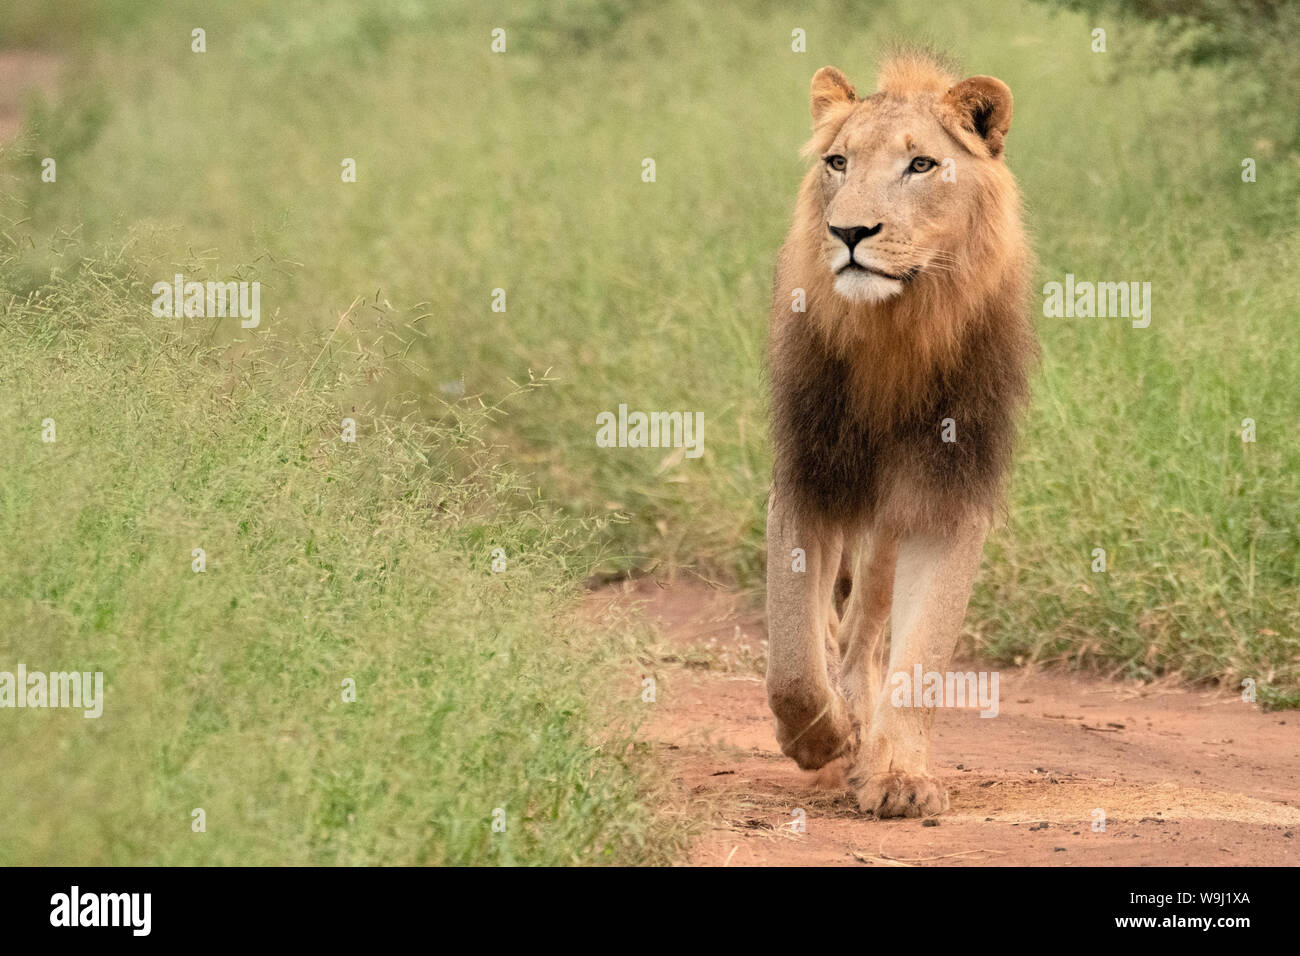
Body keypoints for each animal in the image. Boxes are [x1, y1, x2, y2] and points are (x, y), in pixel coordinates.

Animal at [765, 51, 1036, 818]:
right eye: (838, 161)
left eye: (921, 165)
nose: (850, 233)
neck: (896, 327)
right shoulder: (808, 477)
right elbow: (792, 660)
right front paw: (819, 741)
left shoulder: (947, 496)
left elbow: (921, 656)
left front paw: (897, 776)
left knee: (868, 631)